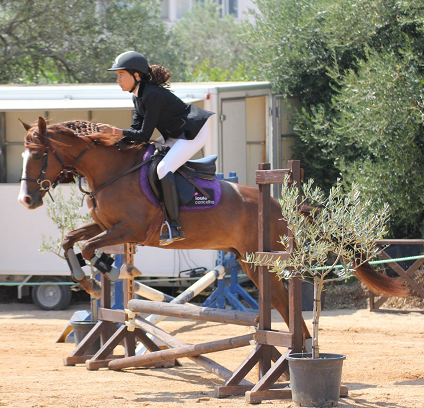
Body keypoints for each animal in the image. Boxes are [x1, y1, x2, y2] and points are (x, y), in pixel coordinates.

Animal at [19, 117, 408, 338]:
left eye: (38, 155)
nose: (26, 200)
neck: (112, 170)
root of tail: (282, 206)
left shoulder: (130, 230)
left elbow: (89, 249)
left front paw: (102, 275)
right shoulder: (106, 226)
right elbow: (71, 240)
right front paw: (89, 277)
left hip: (264, 259)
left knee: (285, 303)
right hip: (250, 262)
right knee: (280, 303)